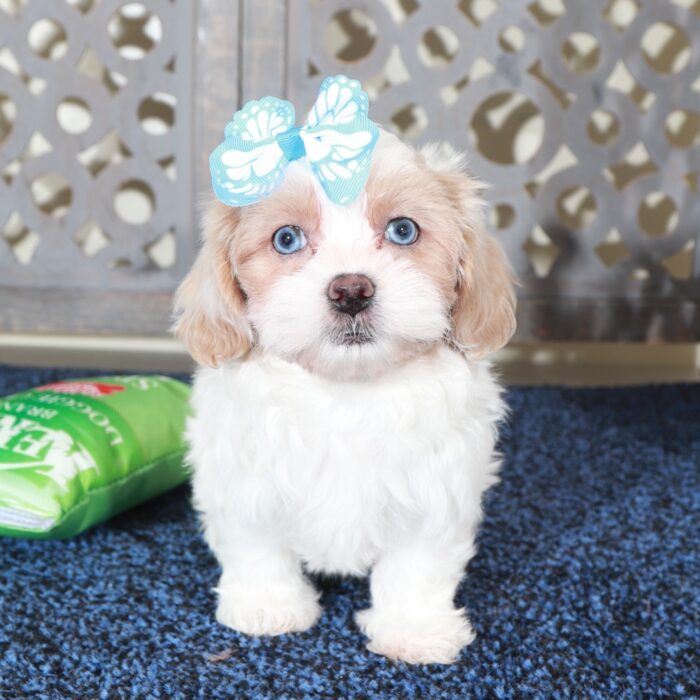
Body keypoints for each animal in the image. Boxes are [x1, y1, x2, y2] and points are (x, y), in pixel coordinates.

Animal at [173, 127, 516, 668]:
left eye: (403, 231)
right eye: (287, 239)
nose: (351, 290)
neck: (347, 389)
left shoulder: (437, 490)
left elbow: (419, 566)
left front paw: (415, 630)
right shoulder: (244, 481)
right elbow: (256, 545)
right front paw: (268, 607)